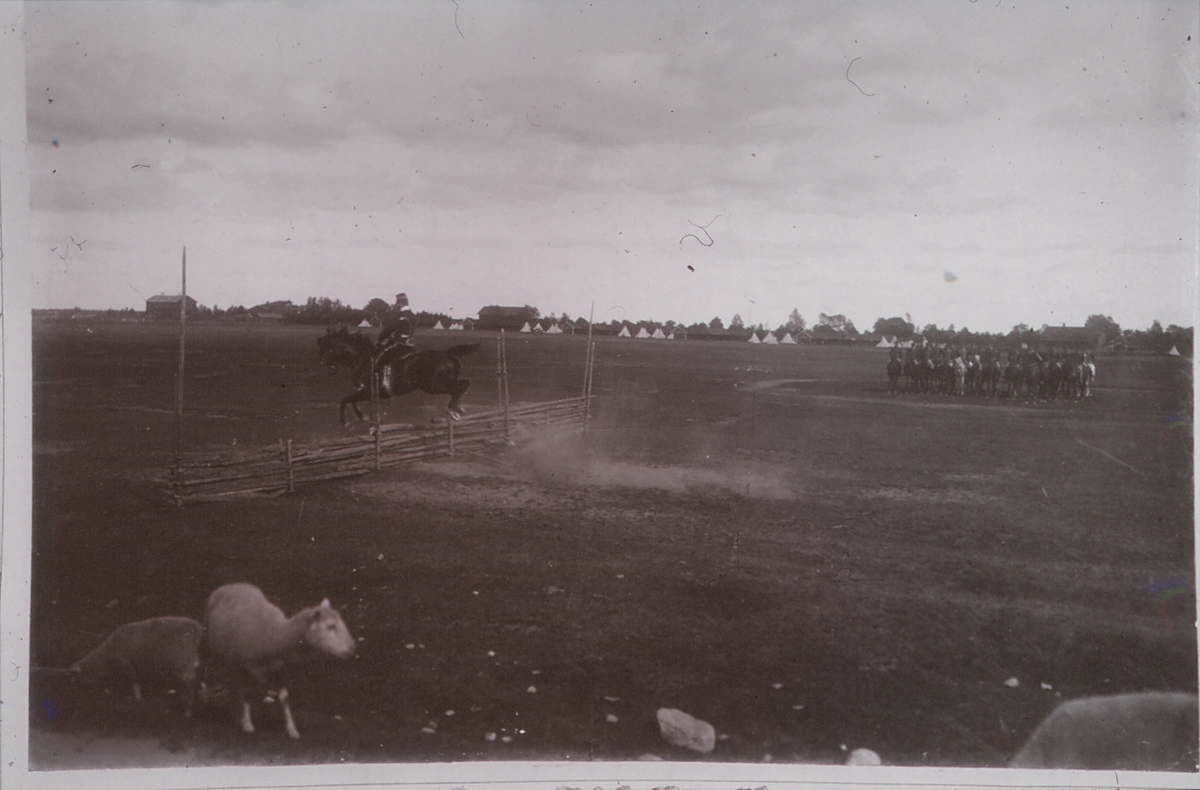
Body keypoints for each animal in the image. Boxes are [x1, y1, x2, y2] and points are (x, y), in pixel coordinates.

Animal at [66, 614, 204, 715]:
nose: (73, 695)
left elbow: (134, 683)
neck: (105, 659)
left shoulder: (127, 666)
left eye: (75, 678)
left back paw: (188, 710)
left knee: (192, 685)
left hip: (183, 663)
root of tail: (199, 630)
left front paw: (137, 699)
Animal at [204, 578, 355, 739]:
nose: (353, 649)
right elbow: (246, 694)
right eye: (330, 626)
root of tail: (234, 584)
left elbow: (284, 698)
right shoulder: (242, 668)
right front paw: (247, 724)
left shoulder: (280, 668)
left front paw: (292, 729)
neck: (274, 636)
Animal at [316, 324, 480, 427]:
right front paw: (360, 416)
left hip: (433, 385)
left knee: (459, 387)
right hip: (442, 382)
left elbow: (346, 399)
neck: (364, 359)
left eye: (328, 348)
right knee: (464, 383)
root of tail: (448, 353)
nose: (326, 366)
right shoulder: (365, 392)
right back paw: (457, 408)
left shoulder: (369, 391)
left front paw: (346, 422)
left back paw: (453, 409)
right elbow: (350, 400)